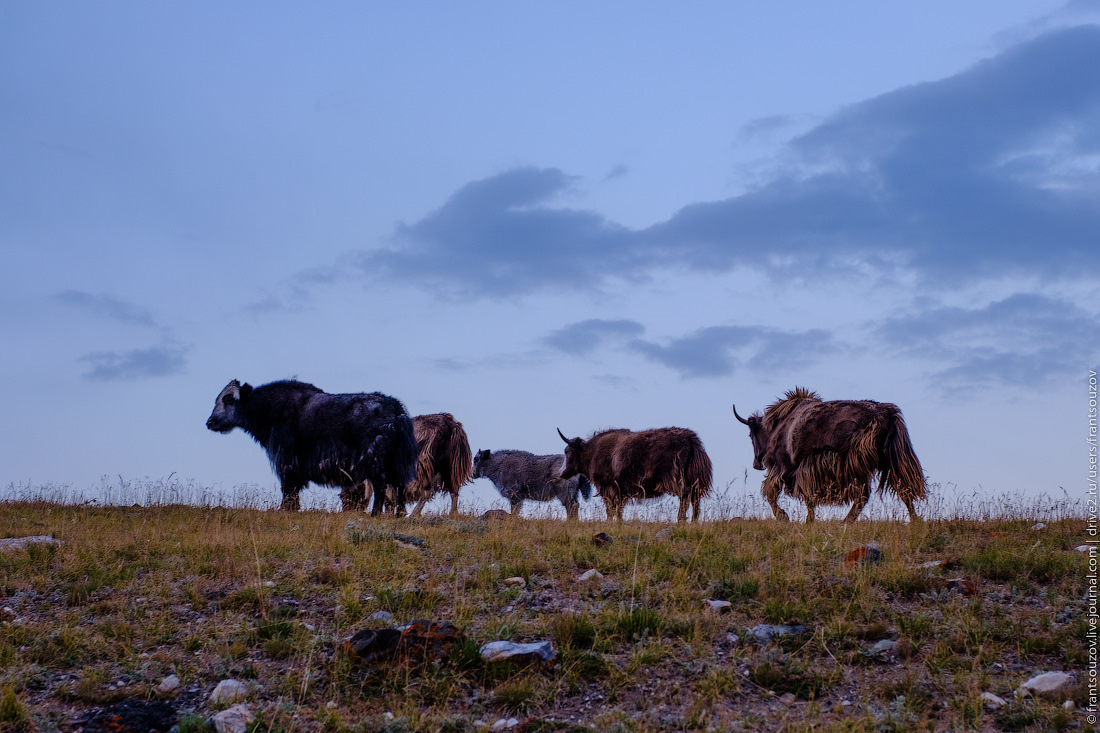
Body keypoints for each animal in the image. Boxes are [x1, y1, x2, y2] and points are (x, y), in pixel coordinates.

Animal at [204, 378, 418, 510]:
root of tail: (396, 408)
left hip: (374, 459)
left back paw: (375, 514)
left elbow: (288, 488)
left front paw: (285, 509)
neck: (269, 409)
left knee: (381, 486)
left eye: (228, 399)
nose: (210, 422)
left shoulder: (287, 460)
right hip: (394, 461)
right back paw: (398, 514)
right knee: (398, 486)